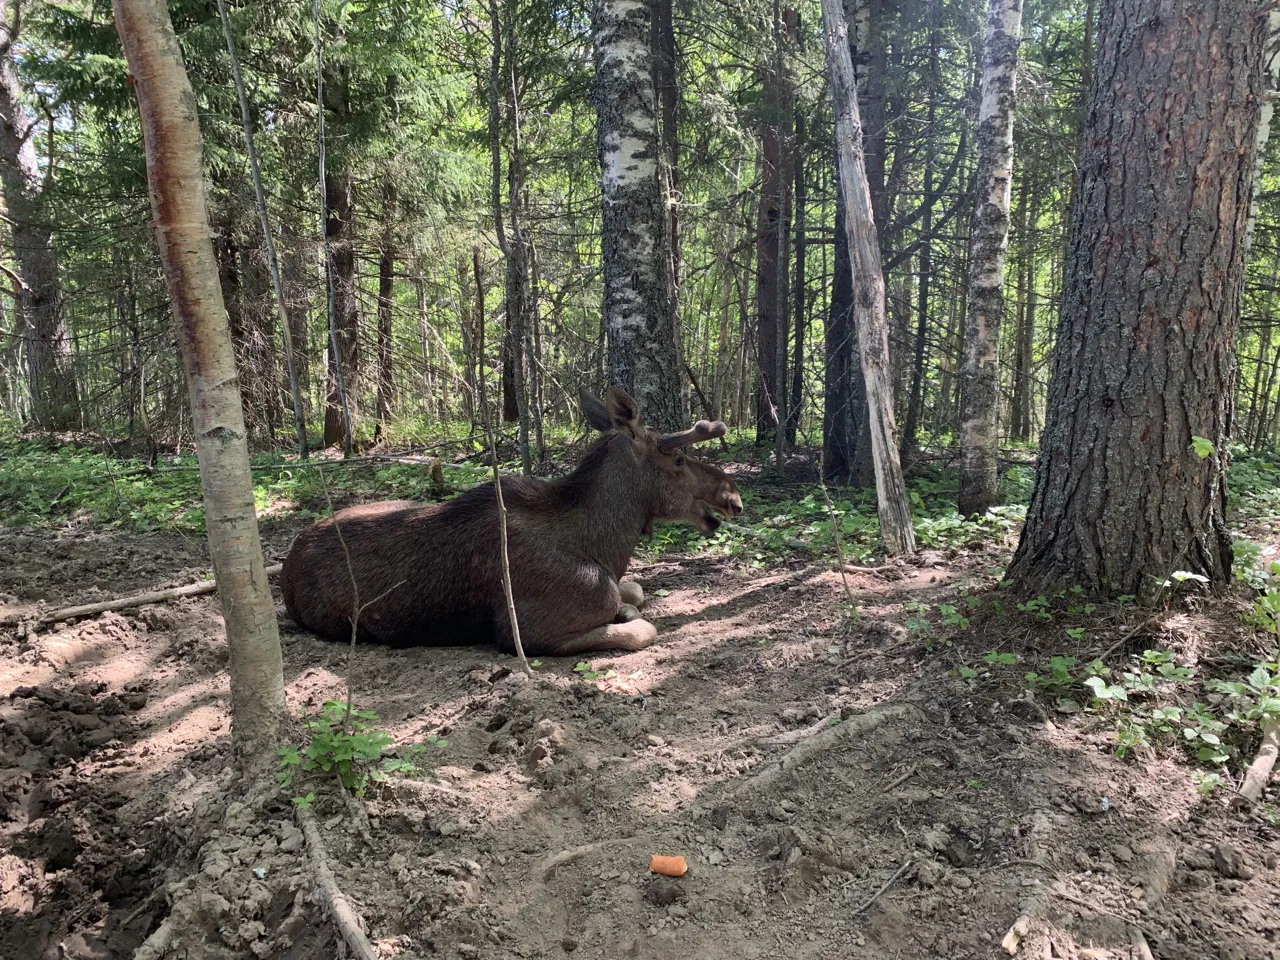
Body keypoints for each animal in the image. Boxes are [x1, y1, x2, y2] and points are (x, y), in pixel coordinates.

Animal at [280, 387, 743, 657]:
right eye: (678, 459)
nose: (733, 496)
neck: (605, 546)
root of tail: (285, 568)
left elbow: (636, 589)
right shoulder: (528, 631)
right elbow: (641, 627)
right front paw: (626, 615)